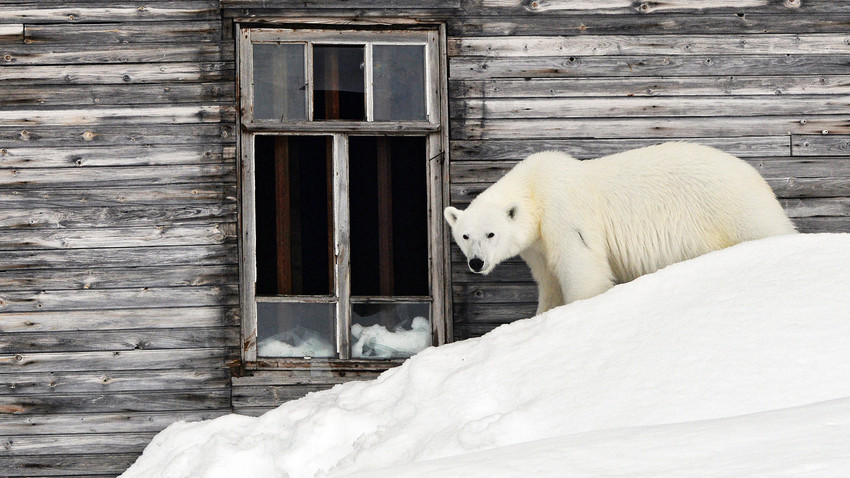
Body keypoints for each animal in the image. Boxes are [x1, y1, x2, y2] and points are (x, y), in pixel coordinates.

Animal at [444, 142, 796, 314]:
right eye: (465, 235)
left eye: (491, 233)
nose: (476, 262)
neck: (534, 188)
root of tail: (755, 176)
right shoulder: (537, 246)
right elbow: (549, 280)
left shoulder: (563, 212)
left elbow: (582, 266)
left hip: (730, 208)